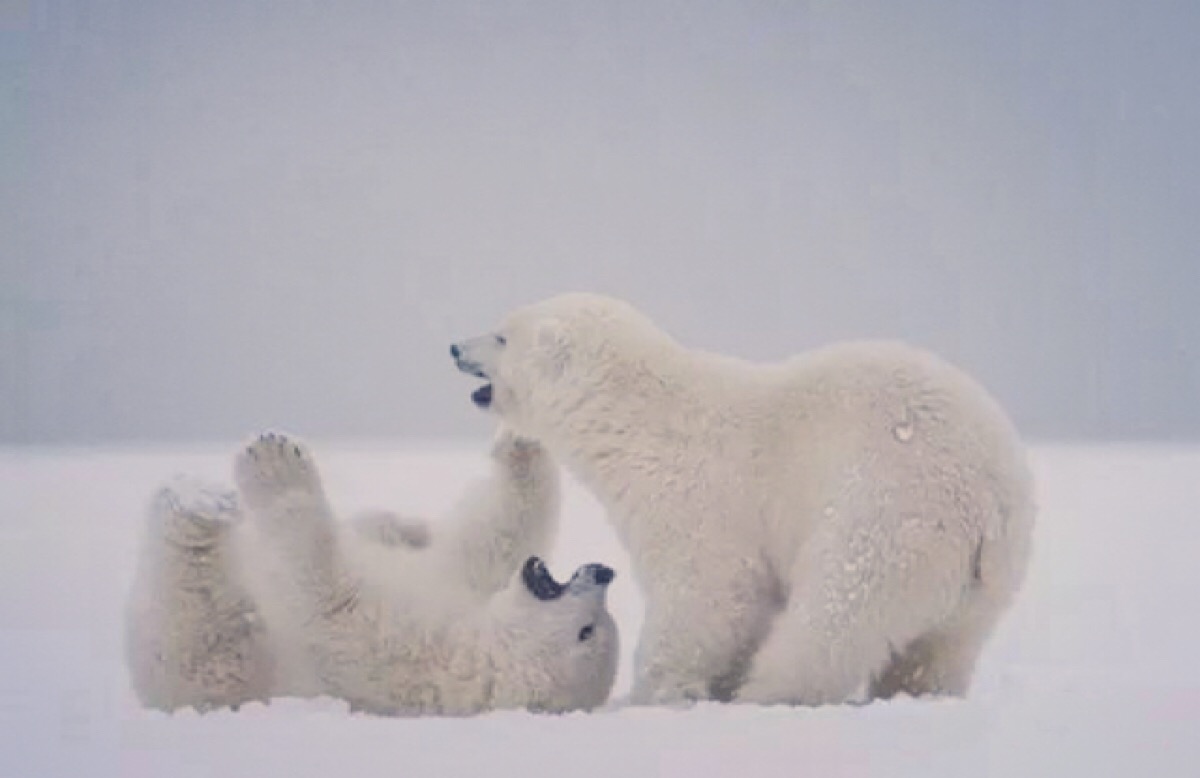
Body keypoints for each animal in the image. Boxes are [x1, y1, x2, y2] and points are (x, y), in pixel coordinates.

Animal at [124, 427, 619, 715]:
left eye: (588, 632)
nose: (604, 571)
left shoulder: (395, 648)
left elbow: (328, 594)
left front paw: (276, 461)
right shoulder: (460, 589)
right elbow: (494, 539)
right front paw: (518, 440)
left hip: (207, 658)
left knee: (190, 597)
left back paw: (197, 504)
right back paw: (400, 524)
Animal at [453, 291, 1036, 705]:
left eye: (502, 335)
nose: (455, 348)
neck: (635, 422)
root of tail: (992, 496)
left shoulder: (695, 496)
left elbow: (706, 598)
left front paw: (653, 692)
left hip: (887, 512)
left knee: (834, 616)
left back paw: (766, 693)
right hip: (981, 582)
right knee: (940, 650)